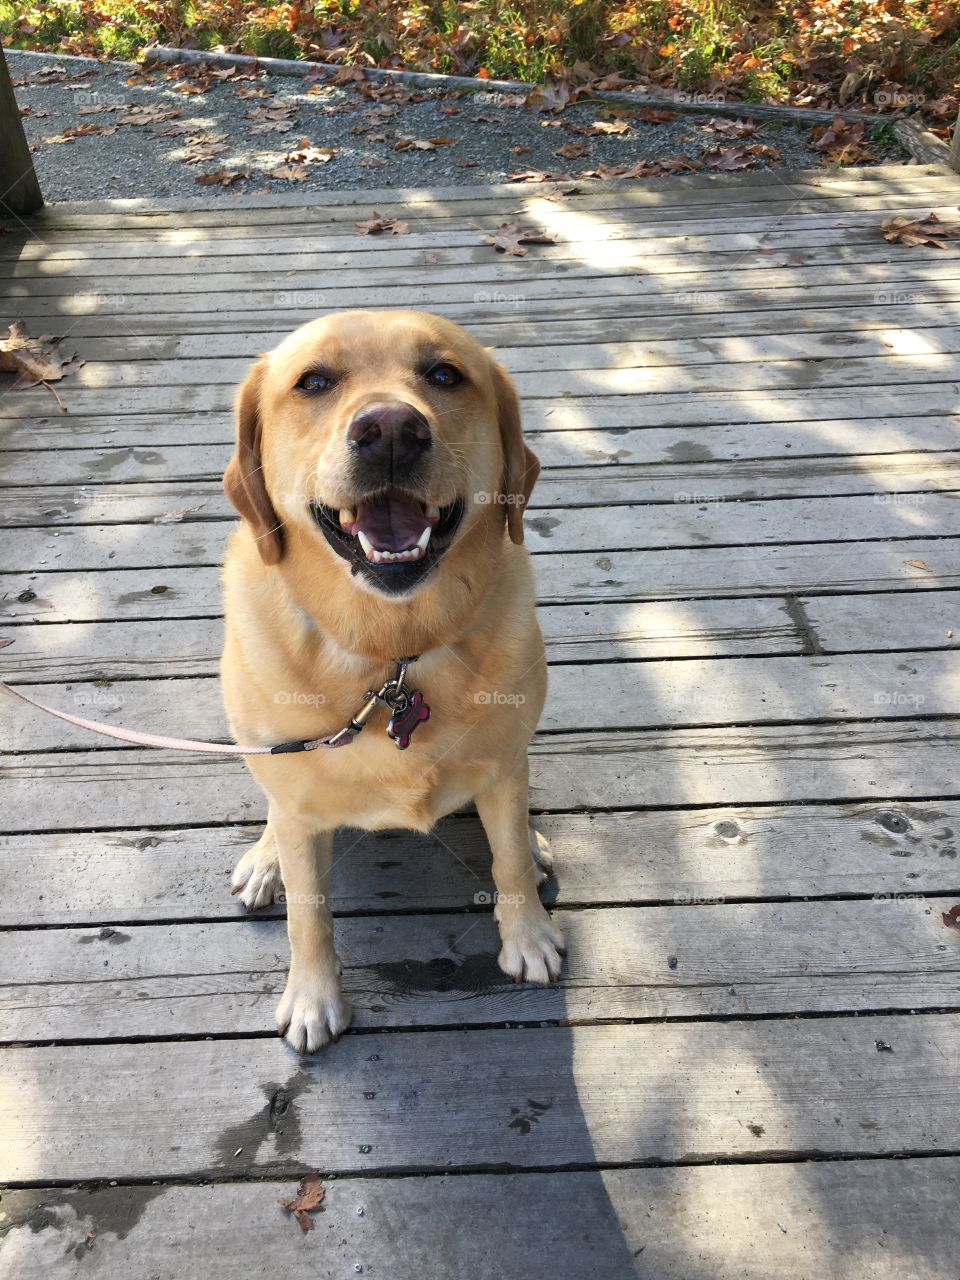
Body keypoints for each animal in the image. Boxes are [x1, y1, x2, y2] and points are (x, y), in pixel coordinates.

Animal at [221, 307, 568, 1049]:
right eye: (314, 382)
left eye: (444, 374)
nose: (389, 429)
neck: (394, 654)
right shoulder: (297, 800)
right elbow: (309, 913)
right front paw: (314, 995)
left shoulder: (502, 767)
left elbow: (508, 860)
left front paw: (528, 934)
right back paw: (265, 859)